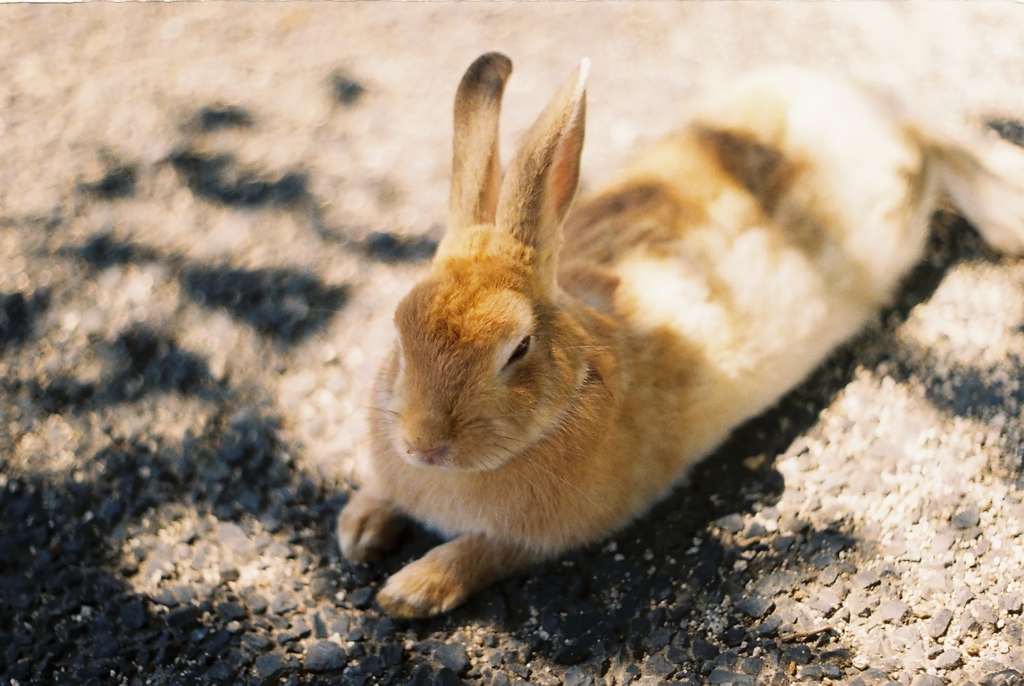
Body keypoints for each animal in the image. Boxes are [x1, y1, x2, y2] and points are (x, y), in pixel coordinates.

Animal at [339, 49, 1024, 618]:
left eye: (519, 348)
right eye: (399, 328)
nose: (423, 444)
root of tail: (854, 97)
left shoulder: (546, 535)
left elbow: (480, 553)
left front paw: (409, 590)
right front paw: (357, 528)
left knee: (943, 147)